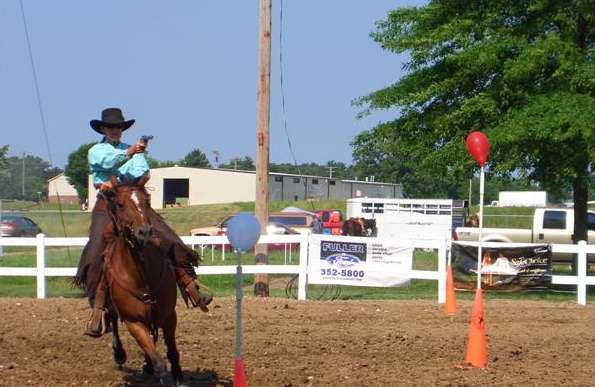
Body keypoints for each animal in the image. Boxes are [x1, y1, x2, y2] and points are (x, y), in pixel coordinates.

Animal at [102, 183, 183, 386]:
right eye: (120, 205)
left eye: (147, 201)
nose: (143, 232)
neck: (143, 276)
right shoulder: (134, 322)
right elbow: (159, 361)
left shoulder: (169, 316)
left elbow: (172, 351)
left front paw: (178, 375)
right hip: (113, 308)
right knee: (113, 321)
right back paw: (120, 354)